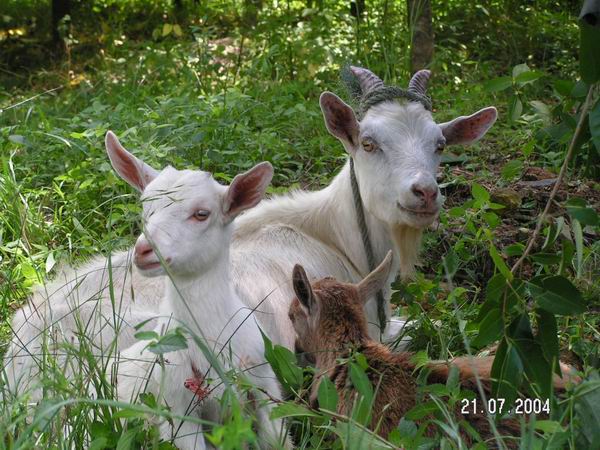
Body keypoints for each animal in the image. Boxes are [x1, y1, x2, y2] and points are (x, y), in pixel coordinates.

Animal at [107, 131, 290, 450]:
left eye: (202, 214)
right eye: (145, 207)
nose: (143, 250)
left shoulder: (264, 385)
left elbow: (276, 437)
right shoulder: (177, 409)